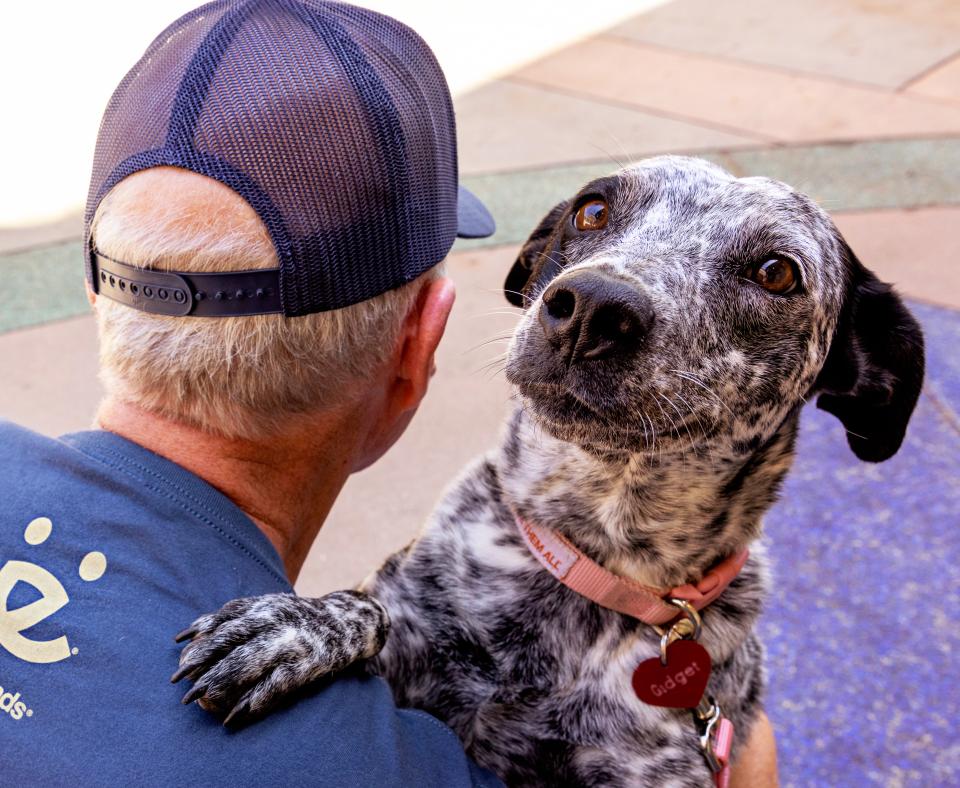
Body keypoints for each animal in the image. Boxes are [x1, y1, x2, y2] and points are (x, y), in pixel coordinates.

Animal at [171, 157, 924, 784]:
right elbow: (371, 607)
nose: (593, 307)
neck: (592, 557)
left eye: (776, 272)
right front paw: (296, 626)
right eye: (593, 209)